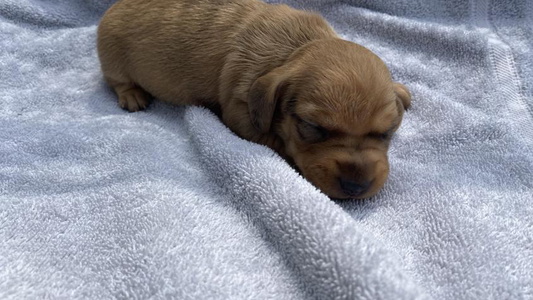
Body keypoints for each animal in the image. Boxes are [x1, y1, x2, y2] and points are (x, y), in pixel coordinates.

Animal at [96, 0, 412, 199]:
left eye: (386, 132)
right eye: (312, 127)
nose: (356, 188)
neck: (295, 48)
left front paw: (403, 93)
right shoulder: (240, 110)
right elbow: (274, 139)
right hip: (112, 56)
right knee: (116, 81)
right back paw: (132, 95)